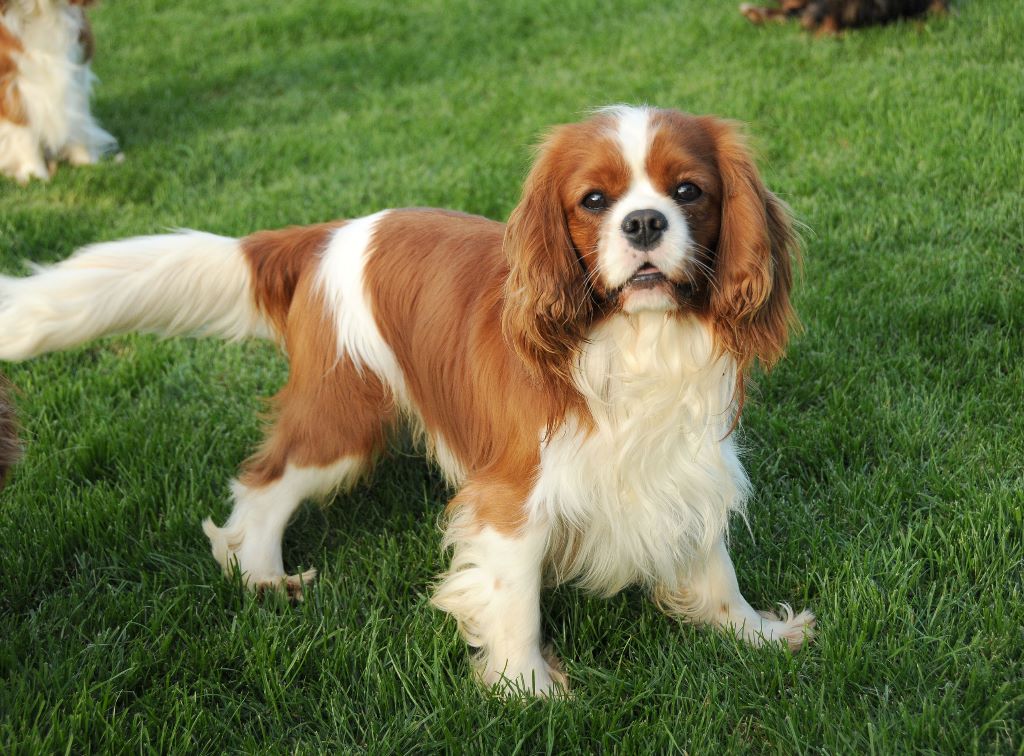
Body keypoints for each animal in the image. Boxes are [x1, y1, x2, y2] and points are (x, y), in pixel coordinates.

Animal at [0, 0, 116, 182]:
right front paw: (34, 174)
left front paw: (87, 161)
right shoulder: (10, 82)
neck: (39, 12)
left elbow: (77, 115)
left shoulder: (77, 67)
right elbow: (23, 126)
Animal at [2, 107, 815, 696]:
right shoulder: (515, 493)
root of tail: (324, 236)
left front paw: (754, 634)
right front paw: (528, 691)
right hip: (344, 419)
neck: (635, 337)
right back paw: (262, 574)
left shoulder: (685, 464)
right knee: (264, 484)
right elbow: (515, 597)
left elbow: (713, 565)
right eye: (594, 200)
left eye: (688, 192)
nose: (644, 223)